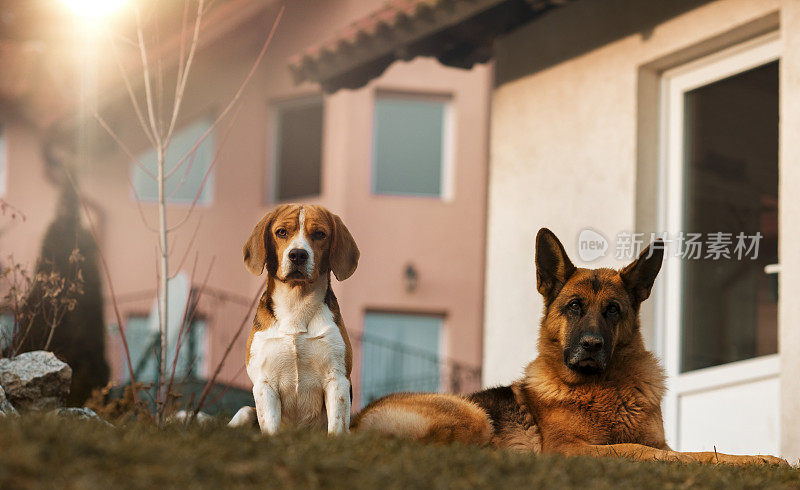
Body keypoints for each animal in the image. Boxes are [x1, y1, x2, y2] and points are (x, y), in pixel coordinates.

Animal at [228, 205, 360, 434]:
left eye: (320, 234)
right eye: (281, 232)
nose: (298, 254)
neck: (296, 304)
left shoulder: (337, 380)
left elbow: (336, 427)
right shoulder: (264, 383)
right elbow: (270, 427)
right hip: (245, 412)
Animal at [354, 228, 788, 466]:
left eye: (613, 310)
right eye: (574, 306)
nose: (592, 346)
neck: (605, 389)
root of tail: (355, 423)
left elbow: (704, 453)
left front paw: (762, 461)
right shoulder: (572, 448)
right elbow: (646, 452)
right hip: (471, 413)